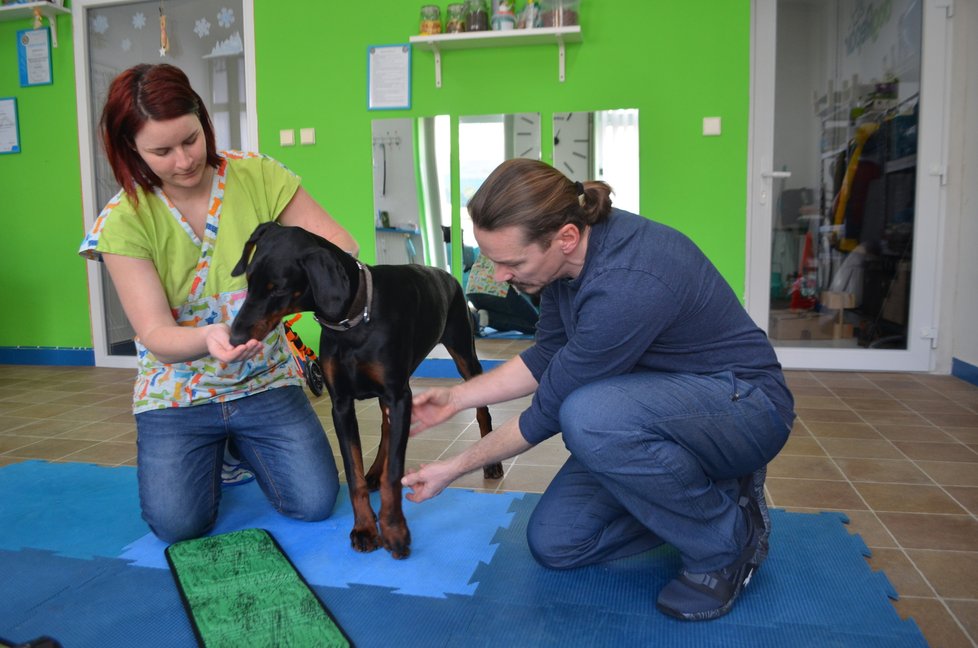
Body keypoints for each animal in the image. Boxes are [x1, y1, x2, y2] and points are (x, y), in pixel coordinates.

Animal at [230, 223, 504, 556]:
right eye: (249, 281)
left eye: (278, 289)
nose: (234, 338)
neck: (354, 319)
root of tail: (447, 275)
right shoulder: (342, 404)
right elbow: (354, 474)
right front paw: (364, 528)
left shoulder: (397, 396)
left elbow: (394, 473)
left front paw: (394, 529)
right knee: (387, 429)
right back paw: (374, 471)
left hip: (463, 352)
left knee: (481, 408)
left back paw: (491, 462)